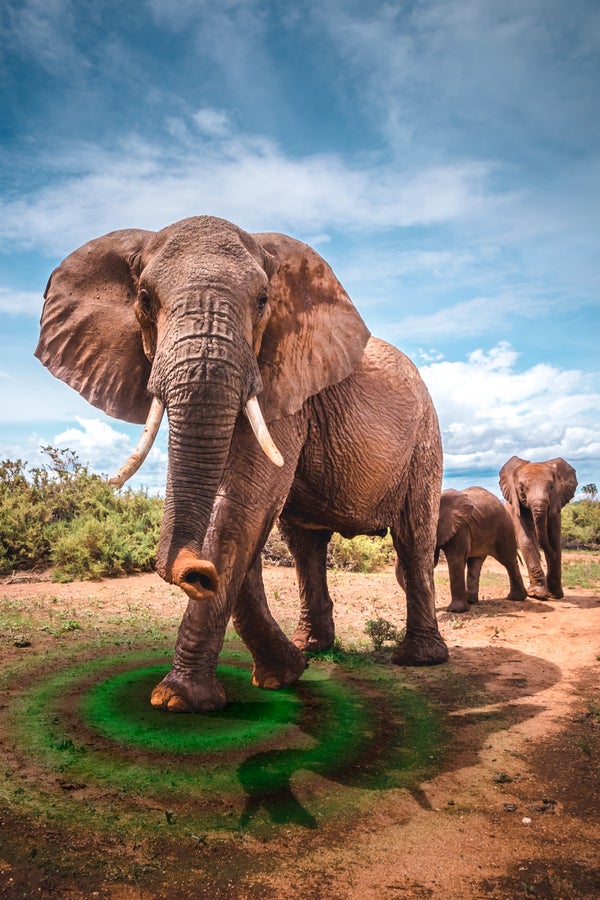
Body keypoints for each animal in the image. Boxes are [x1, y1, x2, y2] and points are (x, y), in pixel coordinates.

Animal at [35, 215, 448, 712]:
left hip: (425, 441)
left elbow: (245, 505)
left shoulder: (285, 387)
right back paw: (312, 647)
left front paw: (178, 701)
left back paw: (420, 659)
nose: (197, 573)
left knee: (414, 535)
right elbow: (243, 517)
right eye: (145, 299)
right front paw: (285, 674)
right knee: (304, 544)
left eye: (263, 300)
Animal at [499, 456, 577, 600]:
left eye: (552, 487)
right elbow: (527, 540)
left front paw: (555, 595)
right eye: (522, 488)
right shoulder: (516, 510)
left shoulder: (556, 508)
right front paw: (536, 594)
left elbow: (554, 541)